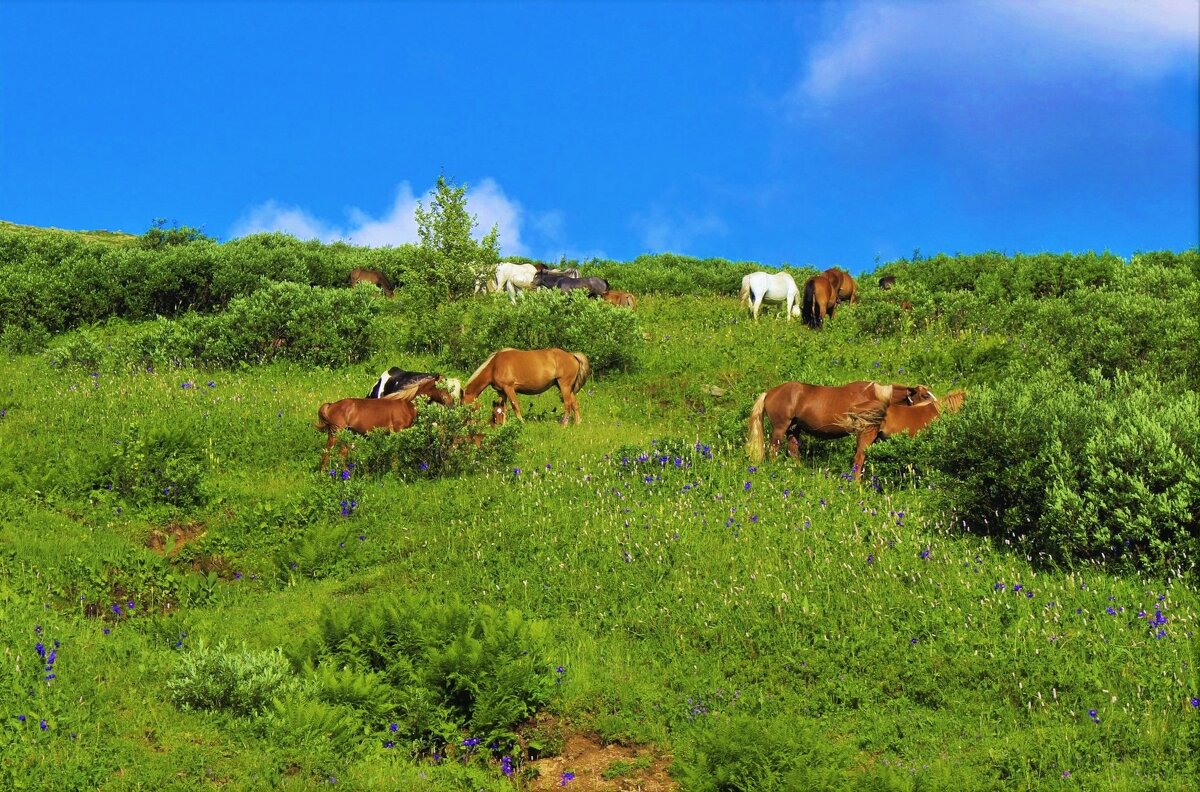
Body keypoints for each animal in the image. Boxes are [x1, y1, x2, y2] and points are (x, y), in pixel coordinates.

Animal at [458, 345, 590, 420]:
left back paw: (563, 426)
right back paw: (577, 424)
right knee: (575, 405)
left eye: (463, 404)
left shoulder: (509, 388)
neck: (494, 366)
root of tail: (572, 355)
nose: (464, 420)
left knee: (568, 405)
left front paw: (521, 422)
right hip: (568, 388)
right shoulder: (502, 392)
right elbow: (502, 408)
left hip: (564, 386)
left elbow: (515, 406)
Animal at [748, 381, 936, 480]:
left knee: (793, 451)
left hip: (793, 429)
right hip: (780, 428)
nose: (936, 405)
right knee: (774, 450)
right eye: (925, 395)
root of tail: (769, 392)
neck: (875, 396)